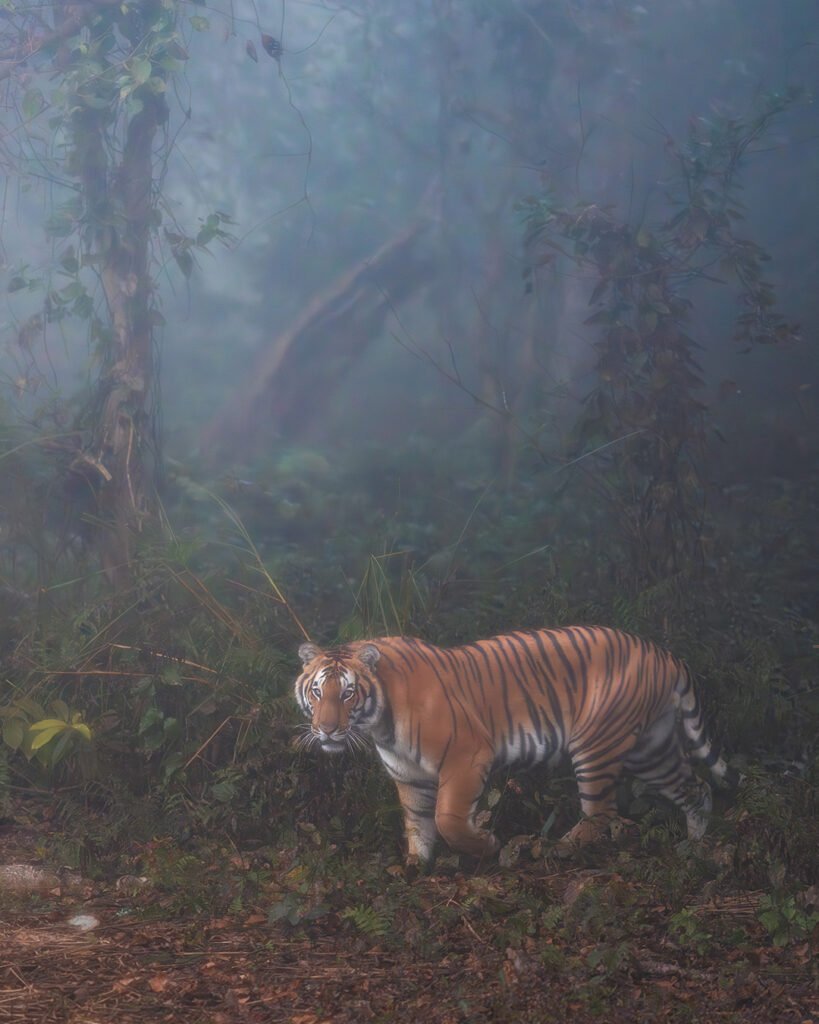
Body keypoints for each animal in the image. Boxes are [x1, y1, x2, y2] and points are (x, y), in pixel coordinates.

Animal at [294, 627, 737, 863]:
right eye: (317, 692)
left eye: (348, 693)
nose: (326, 730)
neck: (379, 723)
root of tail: (663, 653)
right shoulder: (410, 776)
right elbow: (417, 822)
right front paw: (416, 864)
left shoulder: (467, 757)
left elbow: (447, 819)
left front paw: (486, 844)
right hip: (651, 749)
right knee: (697, 788)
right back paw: (696, 844)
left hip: (596, 745)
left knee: (600, 814)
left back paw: (556, 848)